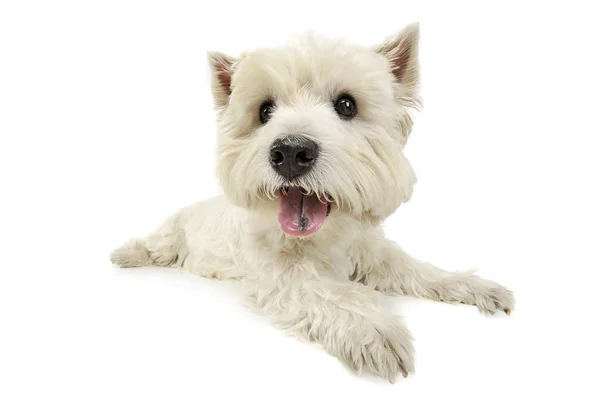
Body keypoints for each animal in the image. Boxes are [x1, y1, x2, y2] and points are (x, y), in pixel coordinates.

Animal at [112, 22, 516, 384]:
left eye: (347, 105)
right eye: (264, 111)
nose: (290, 151)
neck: (326, 238)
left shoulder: (374, 253)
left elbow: (418, 270)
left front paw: (478, 288)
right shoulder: (280, 274)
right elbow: (331, 289)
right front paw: (374, 329)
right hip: (172, 233)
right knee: (155, 246)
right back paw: (126, 255)